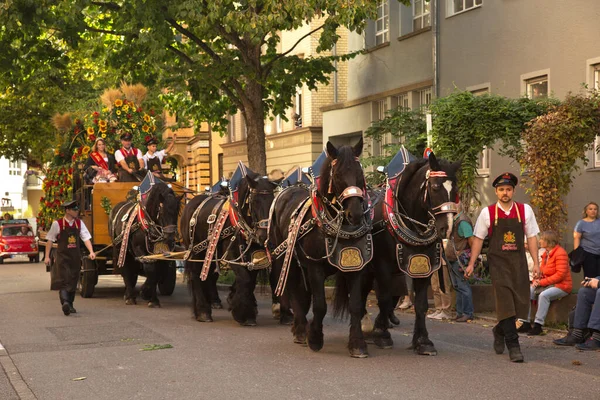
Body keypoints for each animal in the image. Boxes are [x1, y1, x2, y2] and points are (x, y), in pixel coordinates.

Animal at [108, 182, 180, 310]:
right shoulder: (139, 249)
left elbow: (157, 273)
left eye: (177, 212)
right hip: (121, 249)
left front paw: (153, 300)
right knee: (126, 269)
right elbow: (150, 270)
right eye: (162, 211)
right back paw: (129, 297)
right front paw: (144, 292)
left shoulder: (160, 254)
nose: (170, 238)